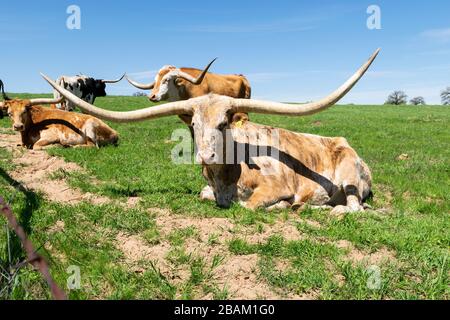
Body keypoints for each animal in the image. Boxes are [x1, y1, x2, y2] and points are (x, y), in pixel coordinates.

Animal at [43, 49, 380, 215]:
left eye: (223, 124)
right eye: (194, 125)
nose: (206, 155)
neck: (227, 174)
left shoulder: (275, 188)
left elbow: (249, 206)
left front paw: (284, 205)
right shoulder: (209, 190)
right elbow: (206, 196)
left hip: (349, 178)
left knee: (354, 209)